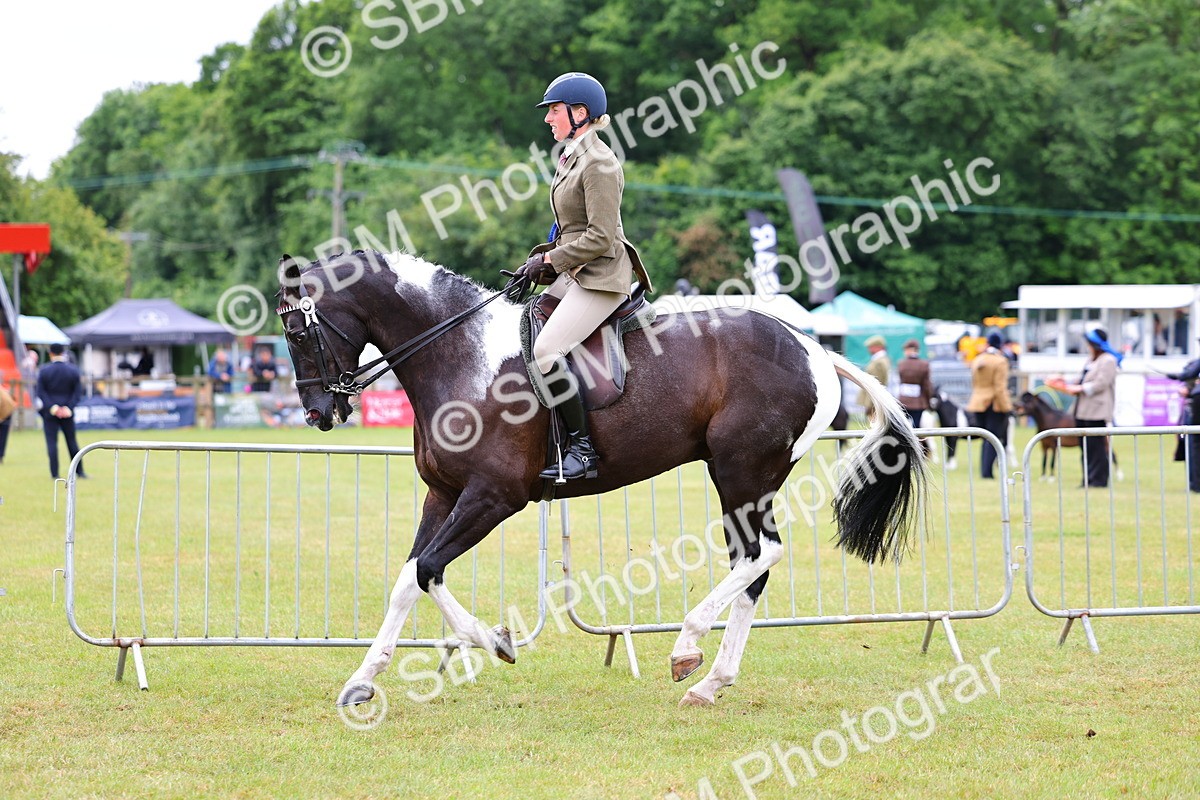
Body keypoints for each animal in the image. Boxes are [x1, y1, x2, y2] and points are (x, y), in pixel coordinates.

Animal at [276, 251, 928, 709]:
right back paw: (711, 682)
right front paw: (364, 680)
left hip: (742, 471)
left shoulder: (494, 496)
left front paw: (494, 641)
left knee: (760, 554)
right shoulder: (445, 494)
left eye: (299, 333)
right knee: (753, 565)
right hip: (744, 480)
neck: (460, 353)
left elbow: (428, 569)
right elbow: (410, 579)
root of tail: (815, 348)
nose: (317, 413)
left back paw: (688, 647)